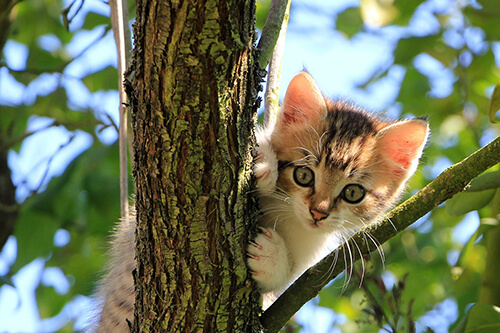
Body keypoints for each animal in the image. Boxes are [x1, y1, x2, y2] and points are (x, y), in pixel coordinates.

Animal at [248, 72, 428, 306]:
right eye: (303, 175)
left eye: (353, 193)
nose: (317, 213)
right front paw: (264, 162)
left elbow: (282, 287)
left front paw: (271, 258)